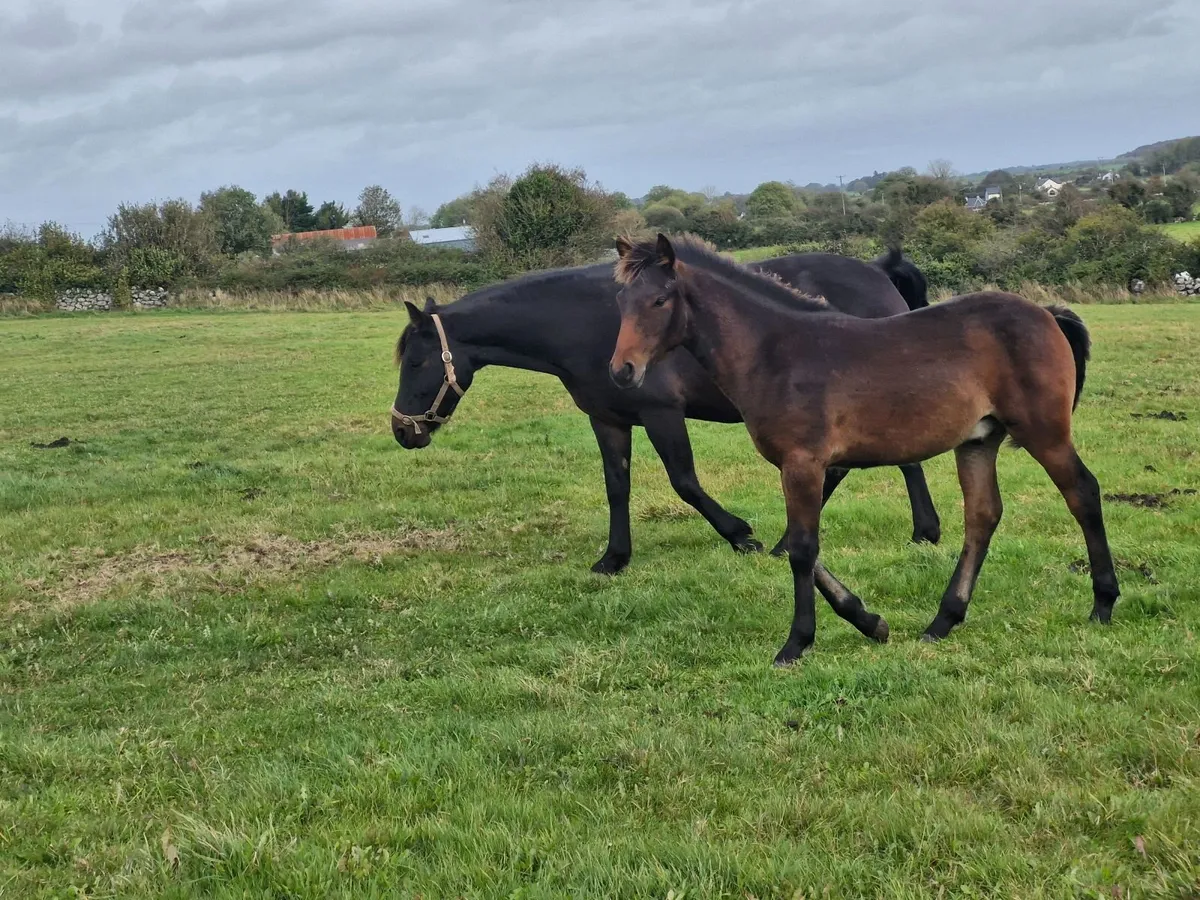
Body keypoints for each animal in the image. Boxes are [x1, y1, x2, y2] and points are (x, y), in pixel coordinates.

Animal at [390, 249, 942, 575]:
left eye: (416, 361)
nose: (402, 431)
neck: (579, 321)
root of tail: (878, 271)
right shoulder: (608, 419)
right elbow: (617, 486)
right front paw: (614, 558)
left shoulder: (661, 413)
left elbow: (685, 482)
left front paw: (741, 536)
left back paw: (919, 532)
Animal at [608, 234, 1119, 665]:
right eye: (620, 301)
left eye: (659, 300)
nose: (621, 371)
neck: (774, 352)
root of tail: (1047, 313)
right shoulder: (798, 467)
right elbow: (800, 547)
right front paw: (870, 622)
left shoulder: (803, 464)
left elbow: (801, 549)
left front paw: (796, 644)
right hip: (978, 441)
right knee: (983, 516)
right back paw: (942, 621)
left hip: (1043, 432)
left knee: (1083, 493)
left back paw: (1103, 603)